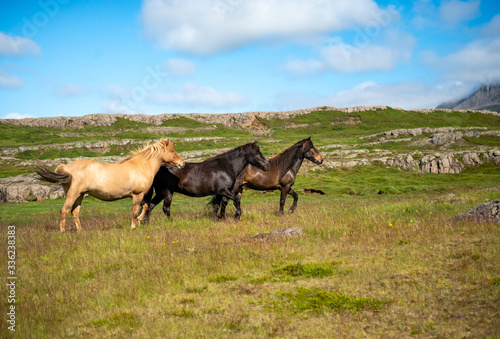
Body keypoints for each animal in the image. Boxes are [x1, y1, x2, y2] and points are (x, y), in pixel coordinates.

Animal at [35, 139, 185, 232]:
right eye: (172, 151)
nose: (182, 163)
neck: (142, 166)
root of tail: (66, 167)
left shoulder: (141, 196)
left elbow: (146, 207)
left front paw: (140, 220)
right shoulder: (137, 195)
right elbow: (135, 211)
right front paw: (134, 226)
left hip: (80, 195)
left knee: (75, 212)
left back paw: (80, 230)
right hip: (73, 195)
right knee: (64, 211)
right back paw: (63, 231)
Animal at [138, 141, 270, 223]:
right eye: (257, 153)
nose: (267, 165)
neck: (226, 166)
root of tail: (158, 169)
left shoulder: (219, 193)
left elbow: (216, 206)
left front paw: (215, 220)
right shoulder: (224, 191)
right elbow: (236, 200)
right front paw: (237, 217)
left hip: (160, 193)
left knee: (150, 206)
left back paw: (146, 223)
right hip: (167, 193)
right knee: (165, 209)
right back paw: (171, 222)